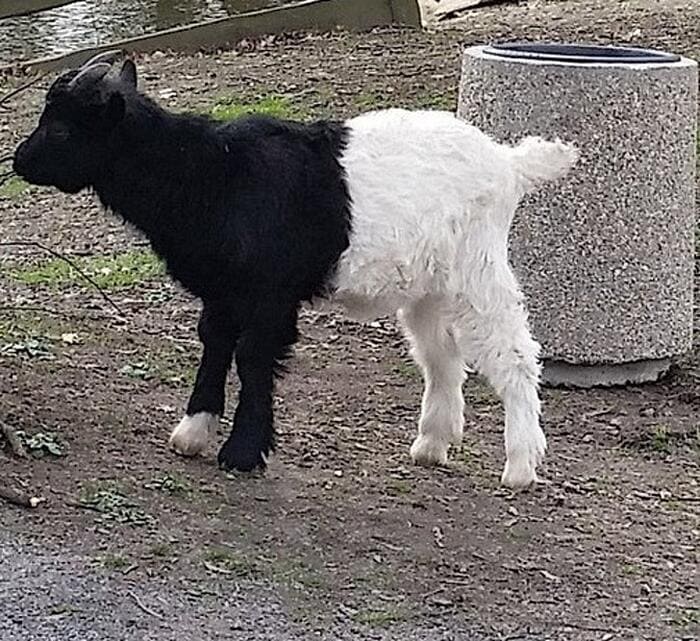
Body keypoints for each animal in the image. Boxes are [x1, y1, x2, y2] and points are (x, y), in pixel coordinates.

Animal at [13, 55, 576, 488]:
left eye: (61, 127)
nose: (19, 162)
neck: (209, 171)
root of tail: (508, 163)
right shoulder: (223, 290)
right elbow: (214, 342)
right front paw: (193, 432)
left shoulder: (268, 294)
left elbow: (252, 356)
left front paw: (242, 452)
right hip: (428, 287)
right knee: (442, 357)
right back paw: (432, 444)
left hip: (476, 271)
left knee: (514, 354)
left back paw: (521, 466)